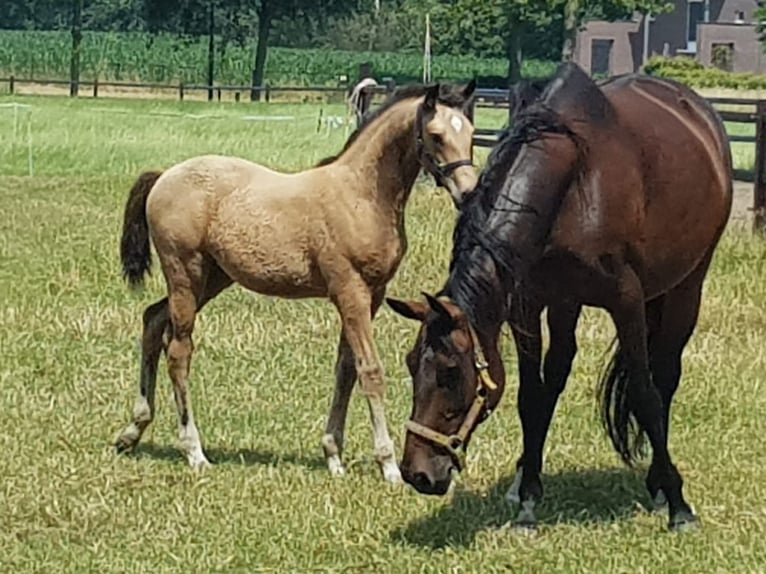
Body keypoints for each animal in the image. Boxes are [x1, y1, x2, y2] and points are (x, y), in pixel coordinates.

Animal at [388, 62, 736, 532]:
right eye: (411, 365)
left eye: (450, 373)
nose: (418, 473)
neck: (575, 179)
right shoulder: (529, 303)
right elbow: (532, 395)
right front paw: (527, 498)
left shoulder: (626, 301)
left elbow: (645, 394)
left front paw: (679, 504)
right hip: (570, 302)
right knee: (558, 373)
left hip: (685, 285)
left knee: (665, 375)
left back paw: (660, 484)